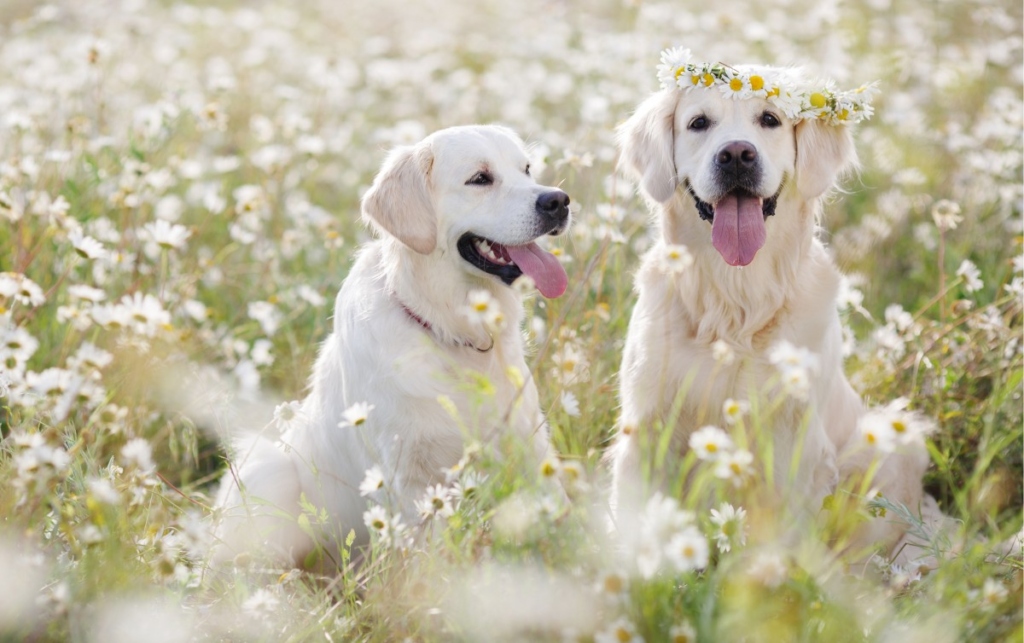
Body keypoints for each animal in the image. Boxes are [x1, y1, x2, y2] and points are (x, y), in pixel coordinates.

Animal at [212, 122, 573, 565]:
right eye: (480, 178)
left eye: (526, 169)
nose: (558, 200)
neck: (448, 329)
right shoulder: (411, 476)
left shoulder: (530, 443)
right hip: (266, 469)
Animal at [602, 46, 946, 569]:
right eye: (699, 123)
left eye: (770, 120)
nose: (736, 154)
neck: (734, 305)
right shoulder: (646, 427)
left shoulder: (791, 441)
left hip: (891, 444)